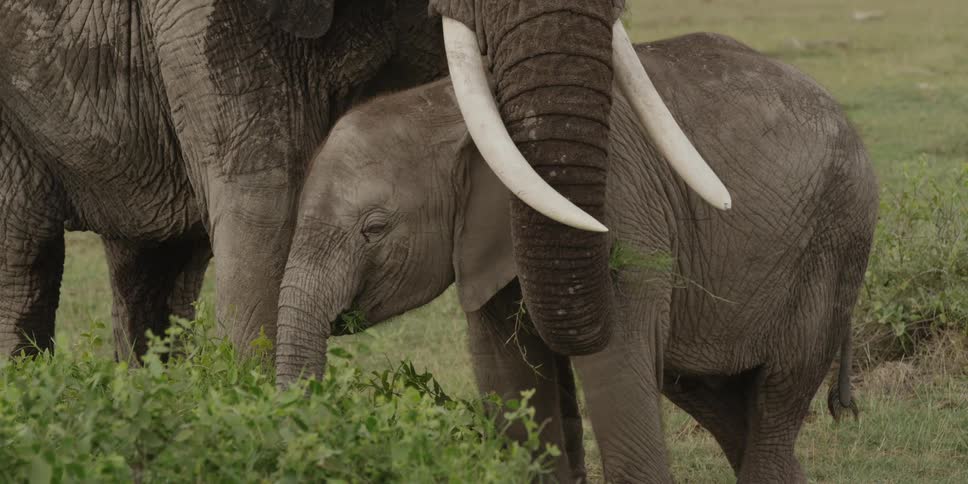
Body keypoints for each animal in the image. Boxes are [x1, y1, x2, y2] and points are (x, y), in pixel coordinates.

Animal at [277, 33, 878, 483]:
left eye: (374, 230)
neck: (452, 108)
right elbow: (508, 375)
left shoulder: (619, 208)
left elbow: (616, 366)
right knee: (720, 403)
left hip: (836, 238)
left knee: (777, 395)